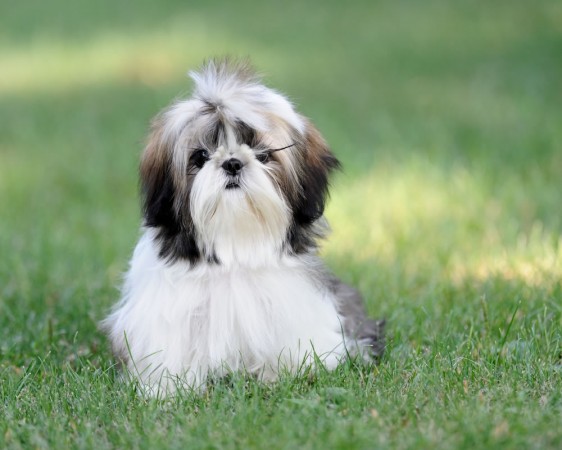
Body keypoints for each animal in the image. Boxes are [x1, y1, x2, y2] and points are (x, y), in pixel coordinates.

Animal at [103, 59, 382, 394]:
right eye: (200, 156)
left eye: (263, 154)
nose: (233, 162)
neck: (235, 244)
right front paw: (166, 388)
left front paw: (282, 374)